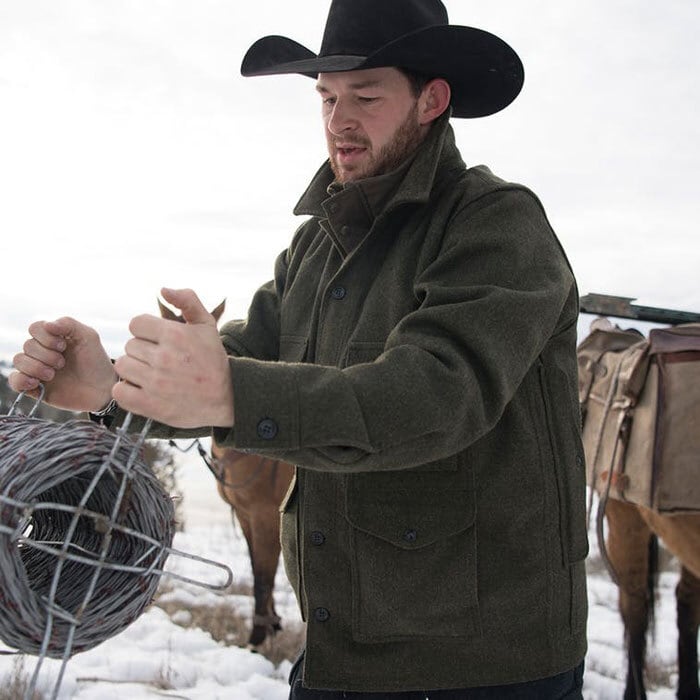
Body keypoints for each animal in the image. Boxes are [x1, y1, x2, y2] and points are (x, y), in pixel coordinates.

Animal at [159, 298, 296, 648]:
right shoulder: (246, 515)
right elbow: (257, 565)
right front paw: (271, 622)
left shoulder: (264, 516)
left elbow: (263, 576)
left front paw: (257, 637)